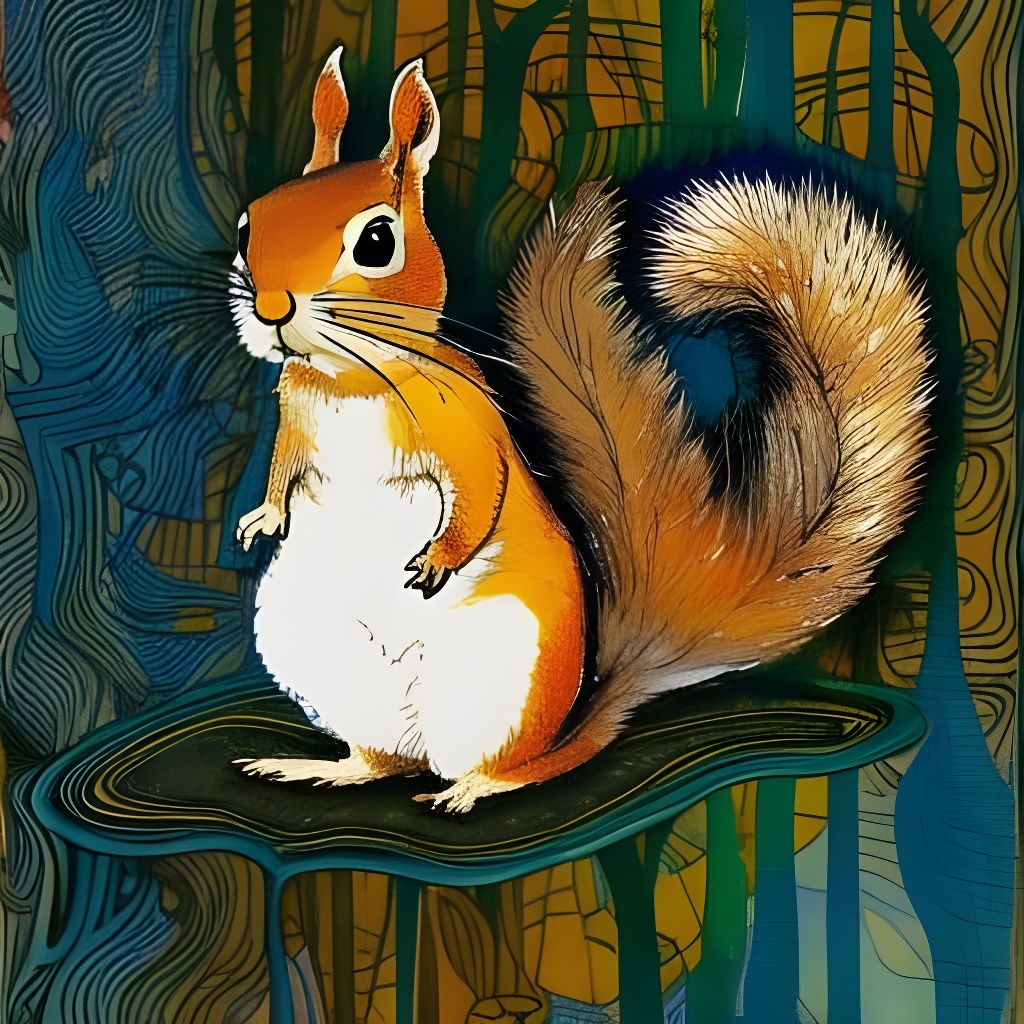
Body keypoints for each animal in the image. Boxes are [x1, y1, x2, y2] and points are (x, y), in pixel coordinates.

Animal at [232, 49, 930, 812]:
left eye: (378, 240)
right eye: (246, 226)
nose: (271, 308)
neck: (347, 375)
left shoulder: (463, 425)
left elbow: (480, 488)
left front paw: (440, 557)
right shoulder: (295, 414)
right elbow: (282, 467)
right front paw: (262, 518)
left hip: (498, 678)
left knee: (507, 767)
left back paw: (468, 788)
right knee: (383, 761)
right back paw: (323, 767)